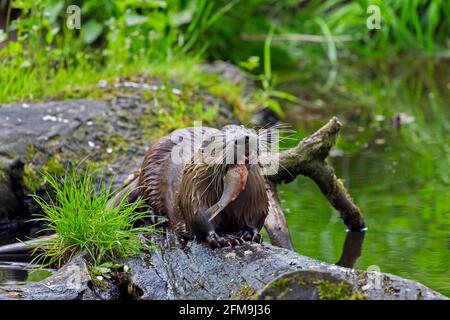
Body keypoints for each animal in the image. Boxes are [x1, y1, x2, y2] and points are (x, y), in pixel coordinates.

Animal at [117, 125, 270, 248]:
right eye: (222, 143)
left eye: (247, 130)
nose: (245, 138)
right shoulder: (194, 194)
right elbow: (199, 218)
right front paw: (223, 238)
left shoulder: (256, 198)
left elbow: (257, 215)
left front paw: (249, 233)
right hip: (150, 173)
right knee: (145, 200)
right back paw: (156, 217)